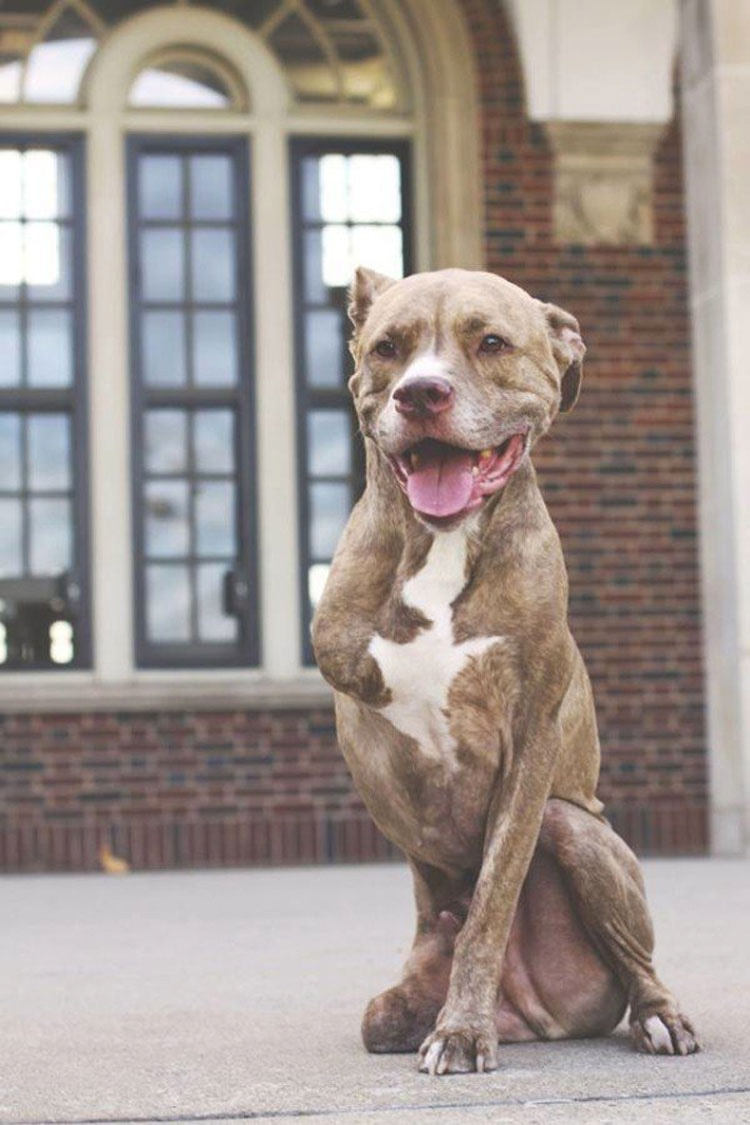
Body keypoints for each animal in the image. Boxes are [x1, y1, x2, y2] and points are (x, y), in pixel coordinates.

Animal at [310, 267, 697, 1075]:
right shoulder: (350, 686)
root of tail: (537, 1018)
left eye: (490, 342)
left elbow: (491, 898)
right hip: (391, 1003)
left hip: (577, 828)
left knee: (637, 965)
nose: (422, 393)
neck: (444, 541)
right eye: (388, 348)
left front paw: (460, 1029)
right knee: (388, 1009)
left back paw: (657, 1017)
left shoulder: (531, 739)